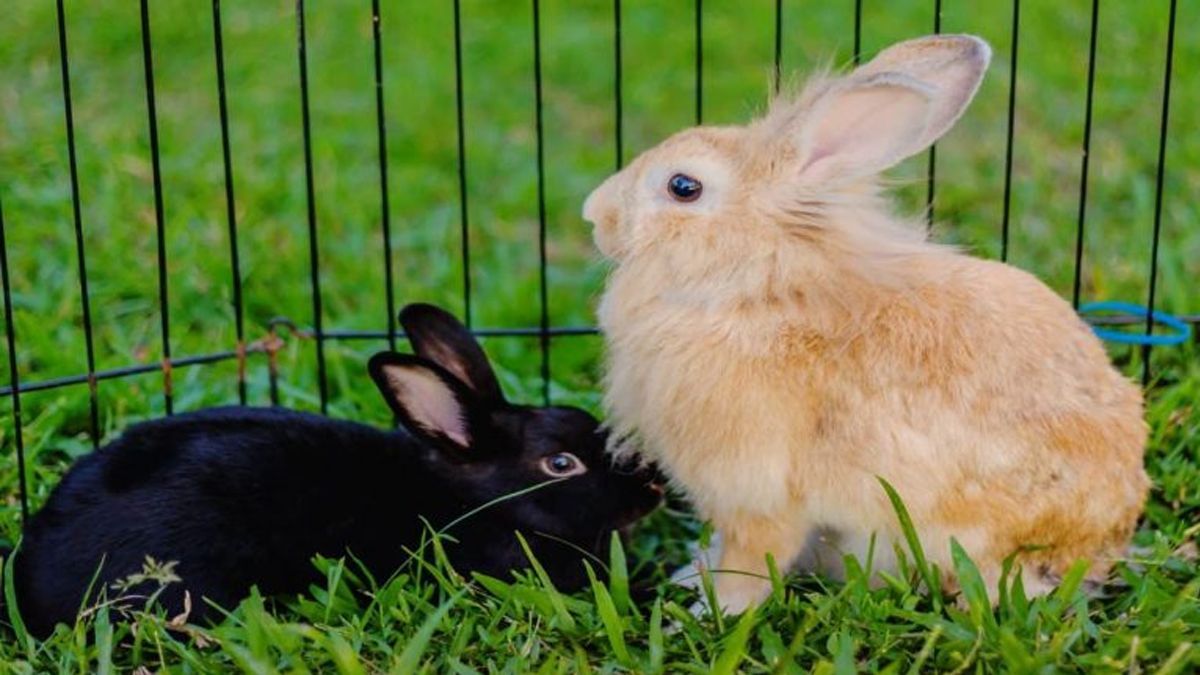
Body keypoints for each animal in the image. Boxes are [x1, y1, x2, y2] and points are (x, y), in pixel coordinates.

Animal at [582, 34, 1148, 614]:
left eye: (683, 187)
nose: (594, 214)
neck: (753, 291)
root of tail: (1103, 542)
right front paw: (692, 577)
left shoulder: (756, 494)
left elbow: (750, 562)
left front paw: (708, 611)